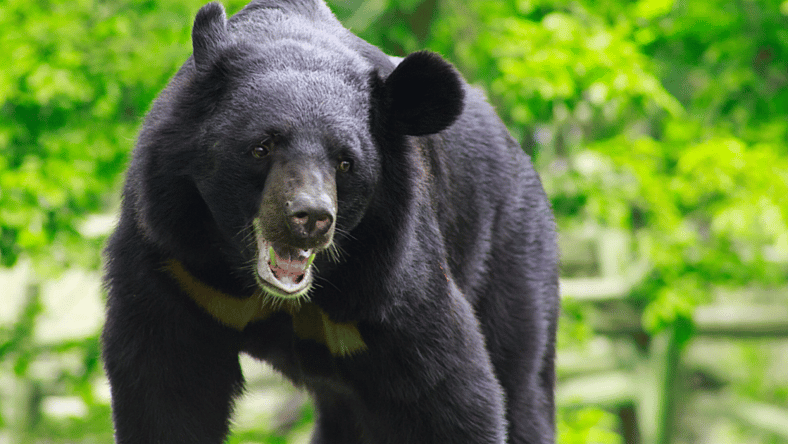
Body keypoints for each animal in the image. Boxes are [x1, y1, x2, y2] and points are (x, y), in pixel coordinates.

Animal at [101, 1, 559, 443]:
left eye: (345, 163)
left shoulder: (390, 277)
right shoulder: (175, 262)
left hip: (511, 256)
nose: (312, 218)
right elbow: (167, 386)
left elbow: (450, 392)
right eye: (261, 147)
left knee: (521, 382)